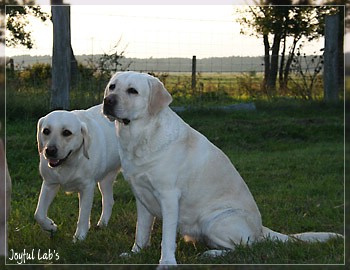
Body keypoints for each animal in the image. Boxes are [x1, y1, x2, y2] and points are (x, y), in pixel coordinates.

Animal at [35, 104, 120, 242]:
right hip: (105, 178)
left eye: (66, 133)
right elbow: (39, 214)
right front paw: (50, 226)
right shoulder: (49, 183)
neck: (69, 162)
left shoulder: (87, 187)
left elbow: (83, 215)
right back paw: (102, 224)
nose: (50, 150)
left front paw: (80, 237)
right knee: (109, 200)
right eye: (46, 131)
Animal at [102, 71, 344, 266]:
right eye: (112, 86)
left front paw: (167, 263)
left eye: (133, 91)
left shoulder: (169, 197)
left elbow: (166, 238)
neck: (140, 137)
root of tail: (260, 229)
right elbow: (141, 231)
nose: (107, 101)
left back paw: (211, 254)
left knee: (244, 247)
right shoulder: (142, 197)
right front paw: (135, 253)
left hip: (215, 220)